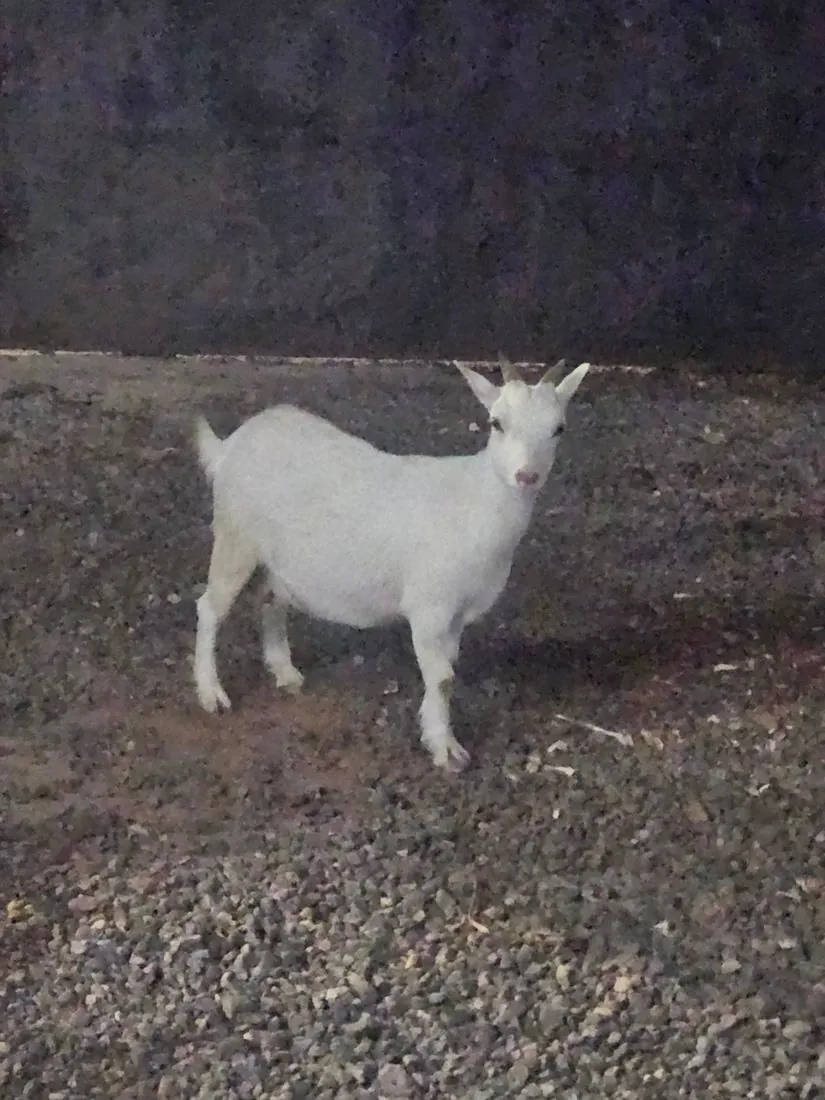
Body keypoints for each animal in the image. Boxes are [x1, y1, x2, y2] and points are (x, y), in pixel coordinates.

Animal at [193, 357, 591, 771]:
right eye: (497, 422)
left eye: (558, 428)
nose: (527, 476)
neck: (474, 501)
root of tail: (228, 446)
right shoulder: (428, 605)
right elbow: (443, 677)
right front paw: (446, 750)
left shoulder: (456, 612)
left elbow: (446, 672)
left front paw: (432, 730)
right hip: (234, 534)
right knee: (210, 607)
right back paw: (211, 694)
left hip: (277, 557)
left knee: (269, 599)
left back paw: (284, 672)